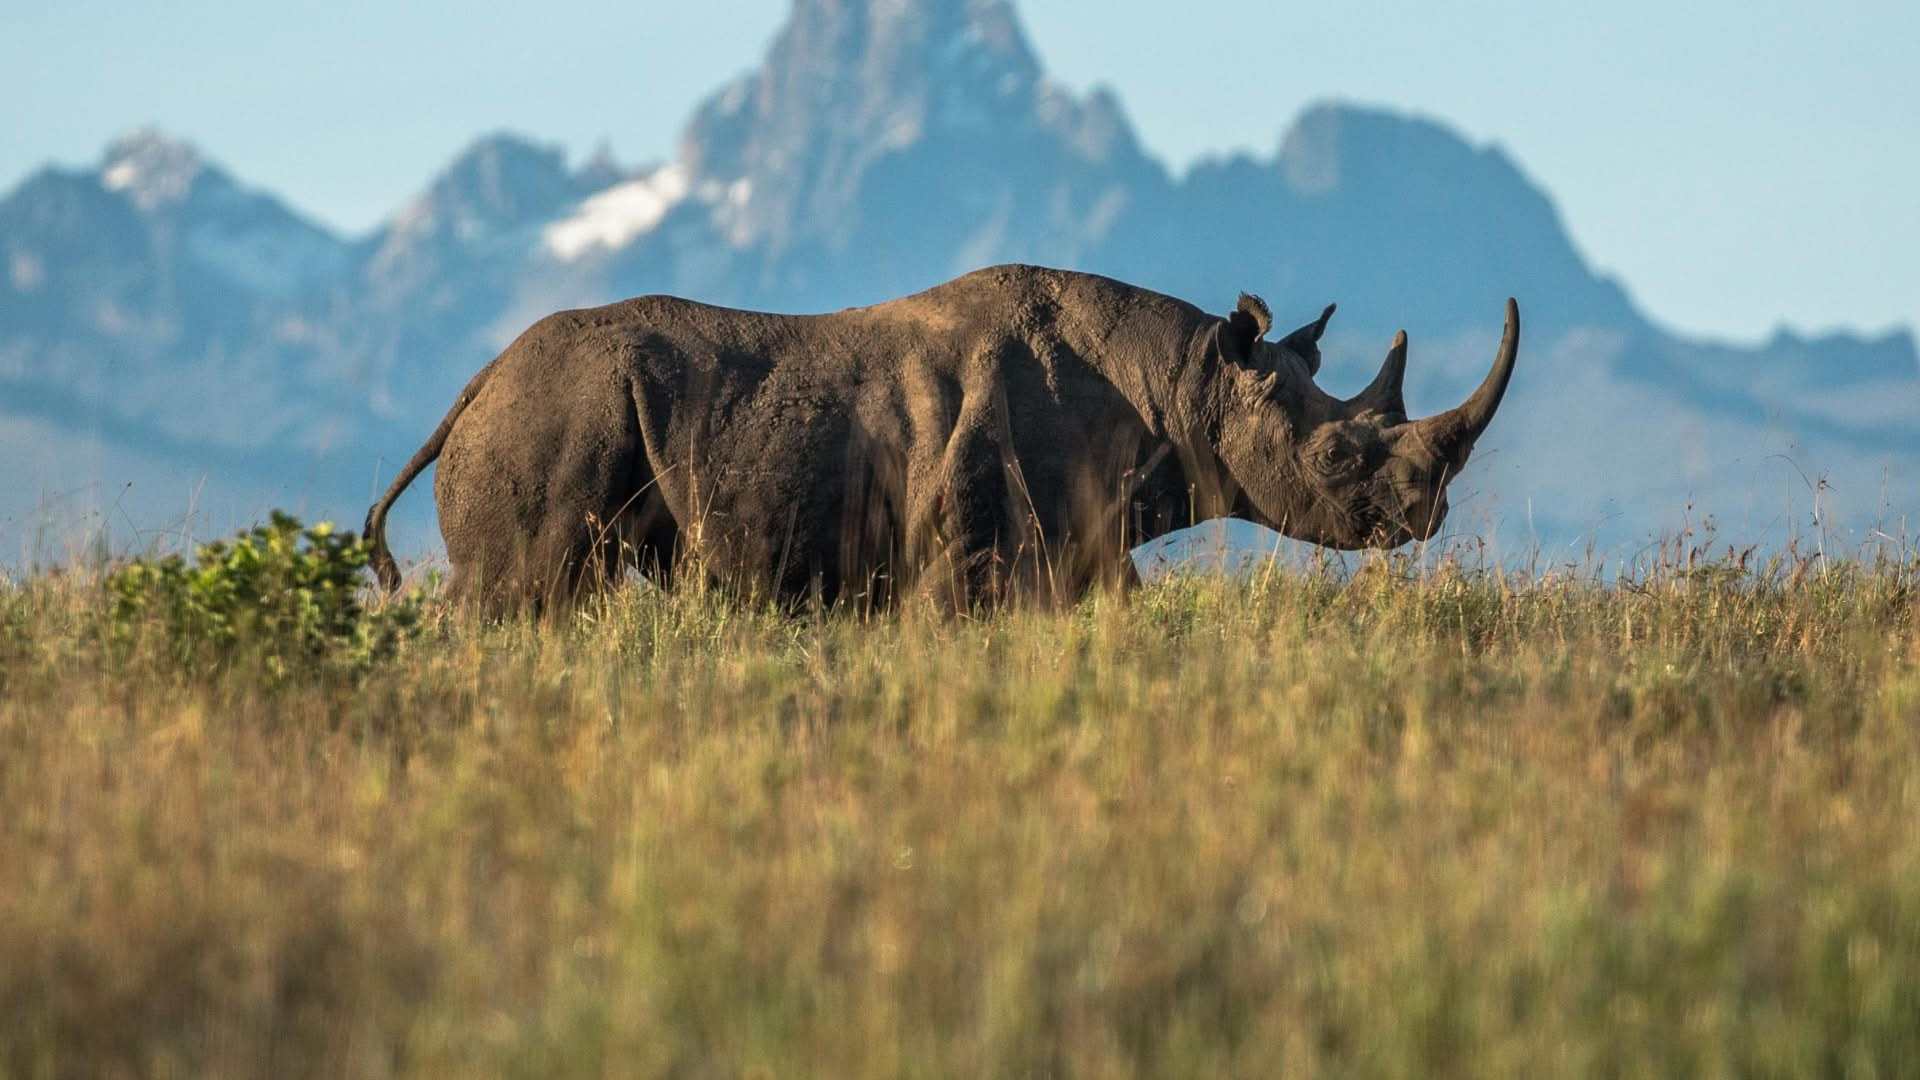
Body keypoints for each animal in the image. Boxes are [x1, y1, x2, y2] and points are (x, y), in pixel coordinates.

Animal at [365, 264, 1518, 610]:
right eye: (1339, 457)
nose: (1427, 517)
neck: (1191, 383)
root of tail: (475, 385)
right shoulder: (976, 552)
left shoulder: (1085, 541)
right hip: (549, 411)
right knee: (522, 599)